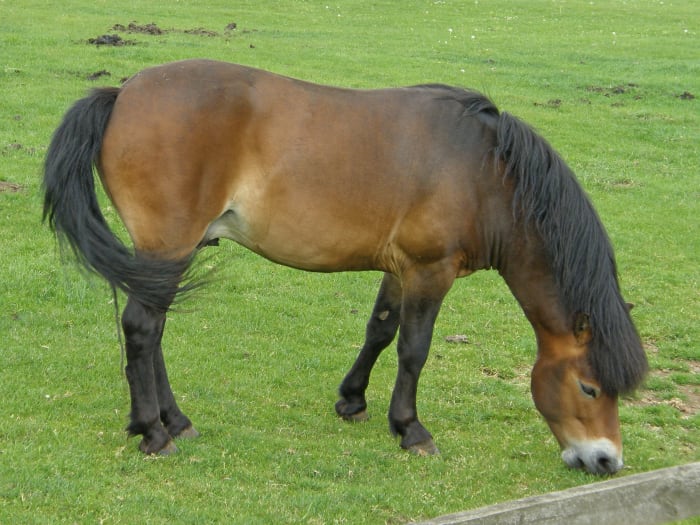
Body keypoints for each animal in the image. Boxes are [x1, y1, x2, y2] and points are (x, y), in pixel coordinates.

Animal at [42, 58, 644, 474]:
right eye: (590, 388)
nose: (606, 461)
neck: (485, 172)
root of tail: (121, 94)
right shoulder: (430, 270)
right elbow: (413, 349)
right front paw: (411, 429)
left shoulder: (400, 269)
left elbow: (379, 331)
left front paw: (353, 400)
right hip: (169, 248)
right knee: (143, 330)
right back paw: (153, 432)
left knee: (154, 331)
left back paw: (176, 421)